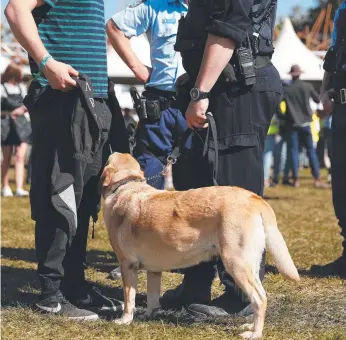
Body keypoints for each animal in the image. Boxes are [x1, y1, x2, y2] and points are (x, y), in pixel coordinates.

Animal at [100, 153, 300, 338]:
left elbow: (129, 299)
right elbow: (152, 298)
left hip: (236, 263)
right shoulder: (154, 270)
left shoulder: (127, 264)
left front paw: (125, 320)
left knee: (260, 298)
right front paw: (148, 316)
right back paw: (250, 326)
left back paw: (254, 333)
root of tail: (254, 198)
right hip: (250, 264)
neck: (126, 186)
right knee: (259, 297)